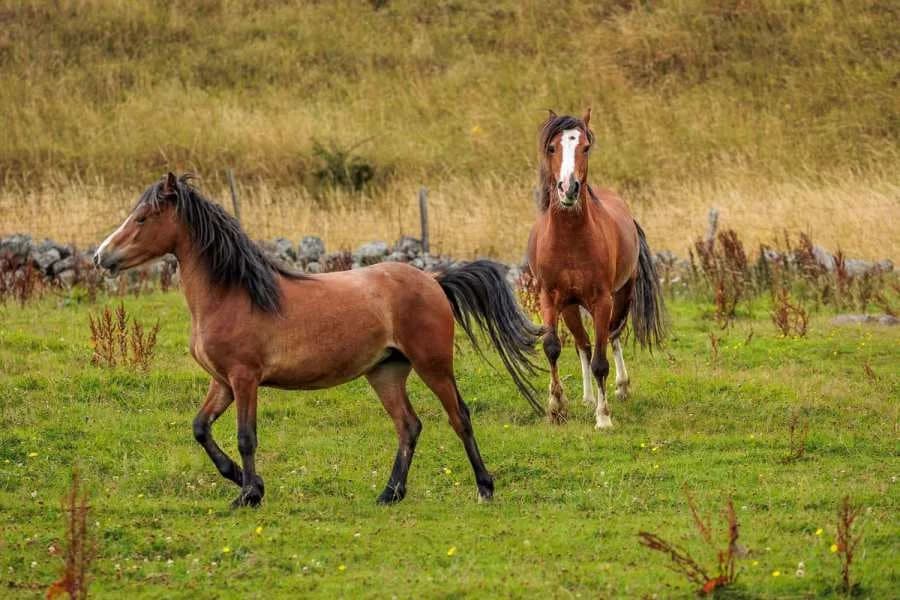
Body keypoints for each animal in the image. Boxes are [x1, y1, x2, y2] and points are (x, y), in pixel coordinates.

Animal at [94, 173, 543, 508]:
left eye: (143, 217)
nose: (101, 257)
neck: (232, 295)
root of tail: (433, 281)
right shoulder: (222, 381)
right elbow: (201, 428)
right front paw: (246, 483)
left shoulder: (244, 378)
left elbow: (246, 437)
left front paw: (248, 495)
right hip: (385, 372)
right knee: (408, 425)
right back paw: (390, 494)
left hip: (433, 365)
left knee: (458, 417)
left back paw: (484, 488)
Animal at [526, 109, 665, 428]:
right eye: (551, 147)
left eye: (586, 147)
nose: (569, 189)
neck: (570, 240)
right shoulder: (550, 298)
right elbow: (553, 347)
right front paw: (556, 407)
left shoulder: (601, 300)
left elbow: (601, 362)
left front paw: (603, 418)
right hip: (571, 306)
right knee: (584, 344)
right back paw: (588, 398)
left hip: (620, 297)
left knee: (611, 337)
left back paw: (621, 388)